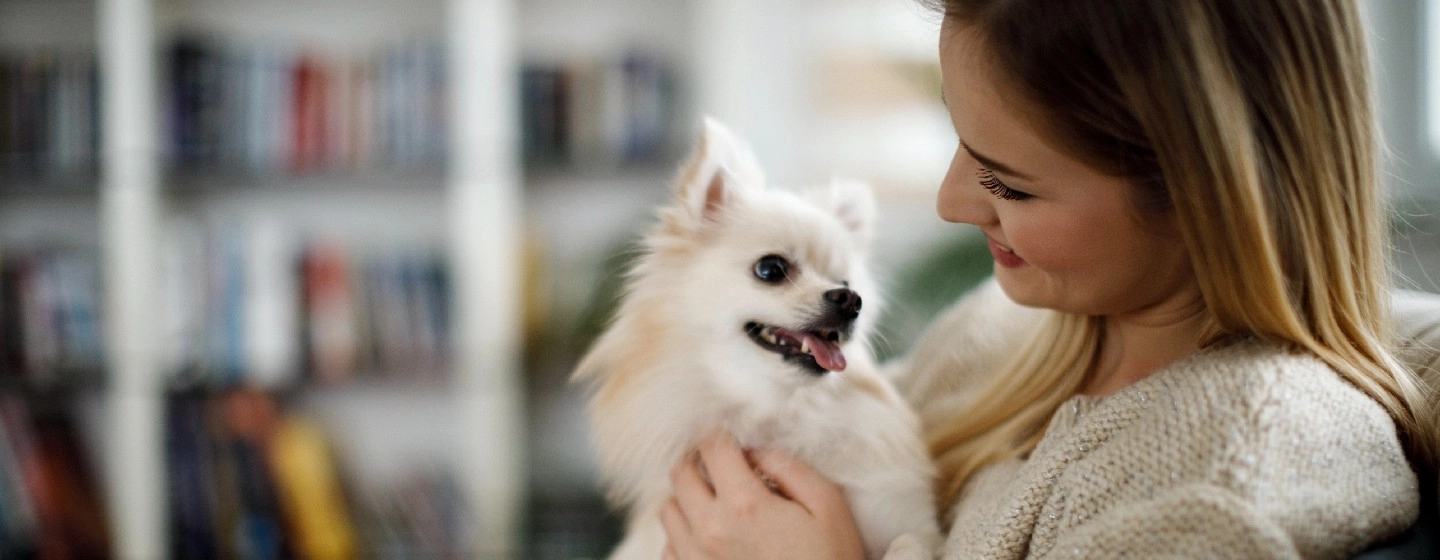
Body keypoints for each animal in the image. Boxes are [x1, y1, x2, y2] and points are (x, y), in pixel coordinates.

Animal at [573, 118, 944, 558]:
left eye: (845, 282)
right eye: (771, 269)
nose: (851, 300)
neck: (773, 411)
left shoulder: (905, 521)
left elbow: (908, 543)